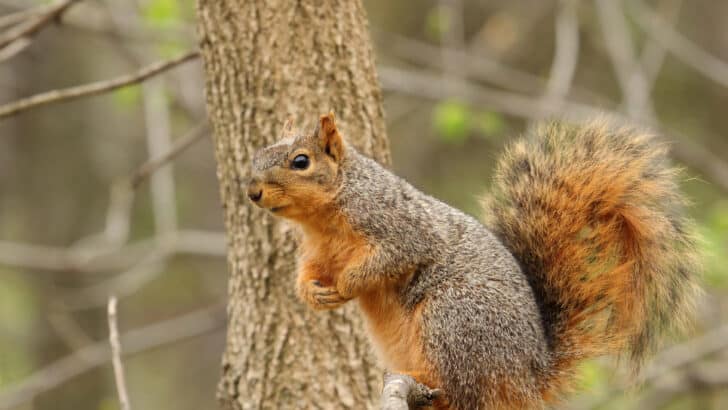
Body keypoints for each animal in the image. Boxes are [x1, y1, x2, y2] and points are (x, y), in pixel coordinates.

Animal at [246, 112, 701, 409]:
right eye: (255, 157)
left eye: (301, 161)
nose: (252, 192)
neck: (324, 218)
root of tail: (531, 375)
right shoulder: (317, 251)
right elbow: (308, 272)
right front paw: (312, 293)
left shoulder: (400, 229)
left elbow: (389, 259)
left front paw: (347, 284)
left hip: (452, 316)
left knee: (463, 390)